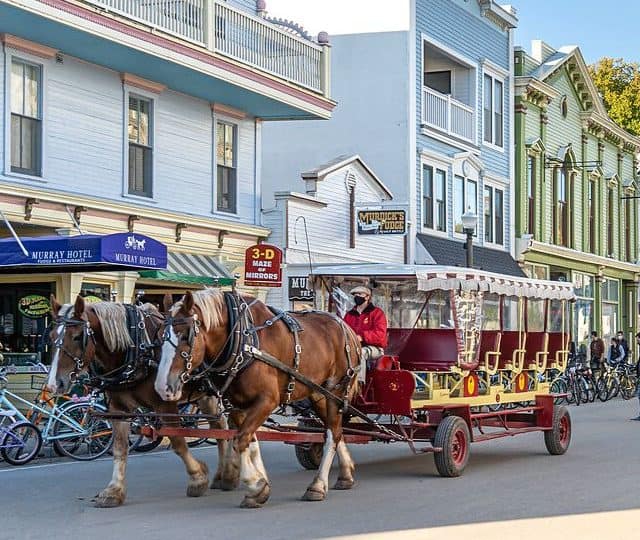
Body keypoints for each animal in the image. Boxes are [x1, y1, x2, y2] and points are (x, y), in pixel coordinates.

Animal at [47, 298, 238, 508]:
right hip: (205, 395)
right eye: (51, 336)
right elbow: (120, 448)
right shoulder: (118, 409)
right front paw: (114, 491)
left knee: (224, 428)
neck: (136, 350)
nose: (54, 384)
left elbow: (178, 442)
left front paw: (198, 478)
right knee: (220, 428)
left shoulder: (165, 405)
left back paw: (228, 473)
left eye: (77, 336)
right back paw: (223, 475)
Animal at [154, 288, 360, 508]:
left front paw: (254, 486)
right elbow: (250, 443)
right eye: (159, 335)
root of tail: (346, 328)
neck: (243, 340)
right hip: (319, 394)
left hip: (336, 391)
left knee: (331, 435)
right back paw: (346, 474)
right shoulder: (237, 405)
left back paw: (318, 485)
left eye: (186, 336)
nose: (162, 387)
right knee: (337, 431)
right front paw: (261, 483)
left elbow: (240, 439)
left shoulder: (267, 401)